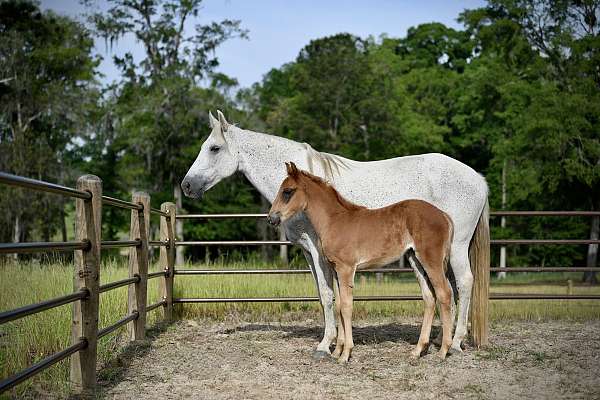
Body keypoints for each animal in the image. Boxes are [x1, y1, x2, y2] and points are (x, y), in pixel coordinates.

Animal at [268, 162, 454, 362]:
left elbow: (347, 307)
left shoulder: (346, 268)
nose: (271, 218)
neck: (334, 220)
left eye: (287, 191)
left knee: (444, 294)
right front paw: (337, 351)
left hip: (431, 260)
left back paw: (443, 351)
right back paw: (417, 350)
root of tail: (444, 215)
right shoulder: (336, 270)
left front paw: (345, 354)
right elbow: (339, 306)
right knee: (429, 298)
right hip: (415, 260)